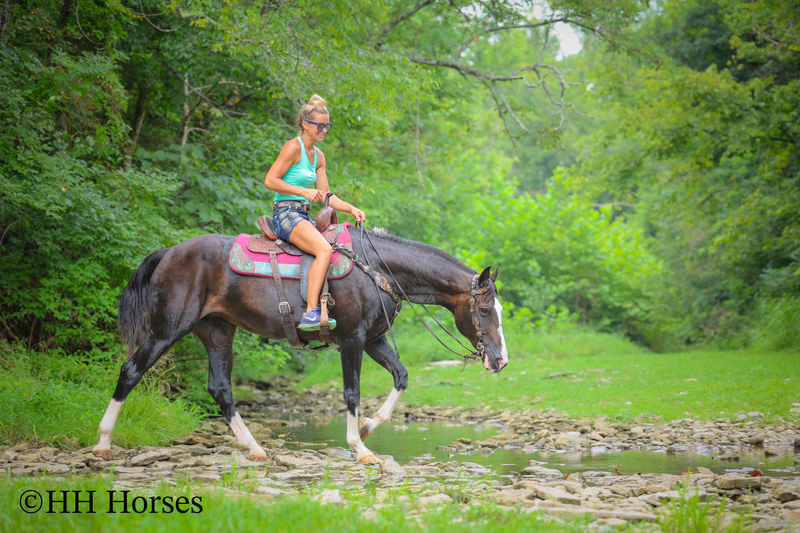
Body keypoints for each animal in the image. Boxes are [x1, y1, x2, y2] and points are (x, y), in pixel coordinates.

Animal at [93, 226, 509, 464]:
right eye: (486, 310)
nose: (501, 360)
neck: (377, 269)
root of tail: (169, 253)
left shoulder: (373, 340)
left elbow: (402, 377)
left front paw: (369, 427)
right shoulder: (352, 339)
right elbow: (352, 392)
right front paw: (360, 448)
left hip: (217, 331)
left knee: (221, 389)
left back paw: (255, 449)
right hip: (168, 329)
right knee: (131, 371)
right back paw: (102, 442)